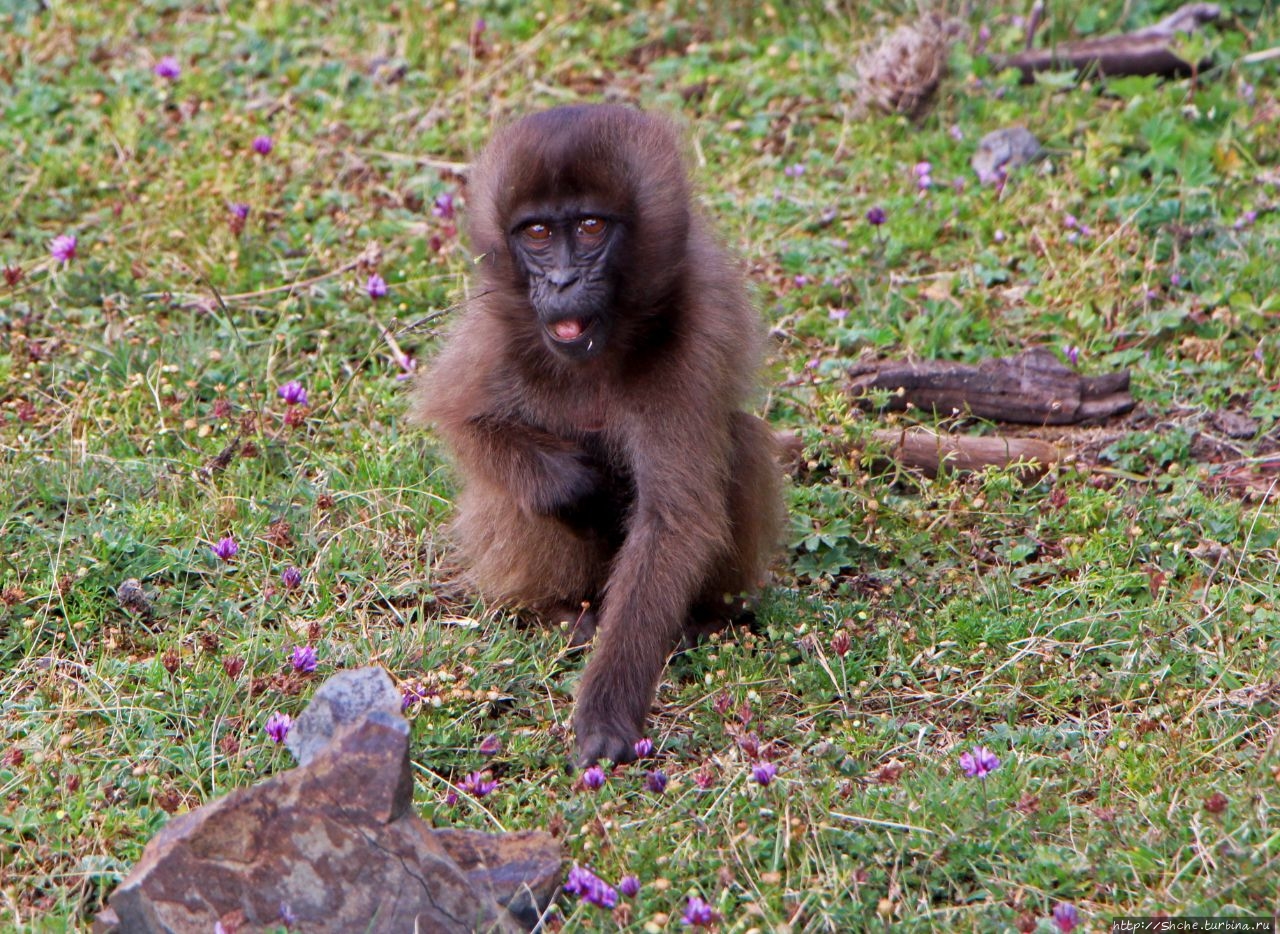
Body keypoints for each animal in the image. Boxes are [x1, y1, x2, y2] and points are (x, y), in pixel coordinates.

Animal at [414, 105, 783, 762]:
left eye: (590, 227)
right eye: (537, 234)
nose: (561, 282)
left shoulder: (693, 333)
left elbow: (674, 518)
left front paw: (608, 710)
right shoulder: (498, 321)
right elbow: (464, 421)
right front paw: (578, 488)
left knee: (738, 440)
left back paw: (705, 619)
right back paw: (560, 611)